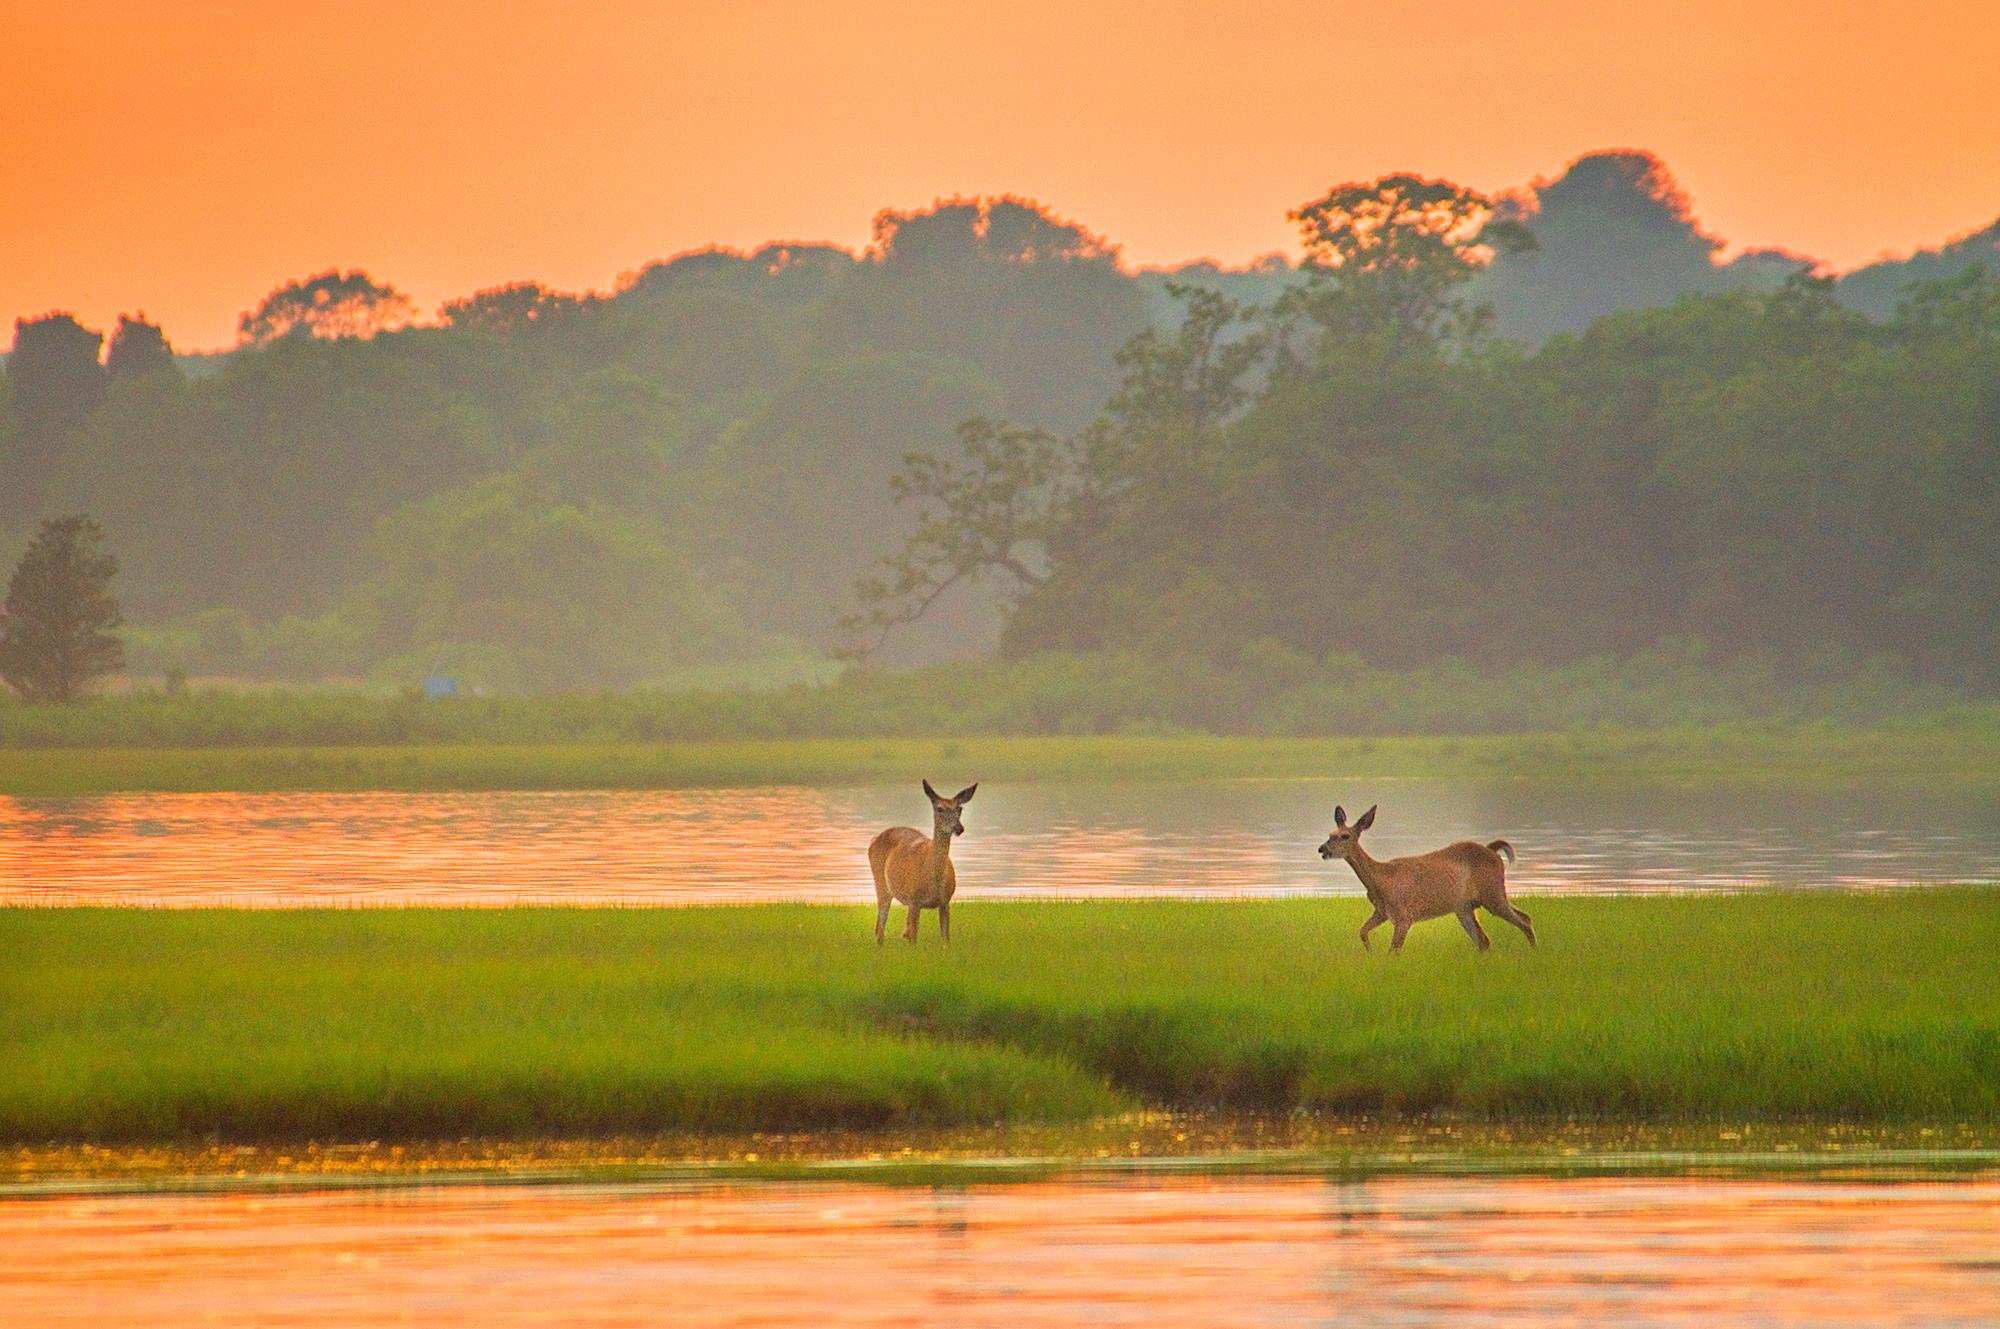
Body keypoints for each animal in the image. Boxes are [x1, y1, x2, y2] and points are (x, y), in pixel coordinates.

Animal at [868, 780, 976, 944]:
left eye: (960, 809)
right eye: (939, 808)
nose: (959, 828)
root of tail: (874, 840)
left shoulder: (945, 901)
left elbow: (946, 938)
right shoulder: (914, 901)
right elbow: (914, 939)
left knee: (901, 931)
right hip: (881, 884)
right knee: (881, 927)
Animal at [1320, 804, 1536, 948]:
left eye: (1345, 836)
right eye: (1330, 834)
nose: (1322, 849)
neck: (1381, 879)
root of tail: (1492, 850)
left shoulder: (1404, 916)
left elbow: (1393, 951)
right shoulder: (1381, 912)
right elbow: (1362, 932)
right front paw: (1370, 953)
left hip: (1492, 893)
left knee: (1524, 920)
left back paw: (1533, 953)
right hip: (1464, 907)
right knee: (1484, 940)